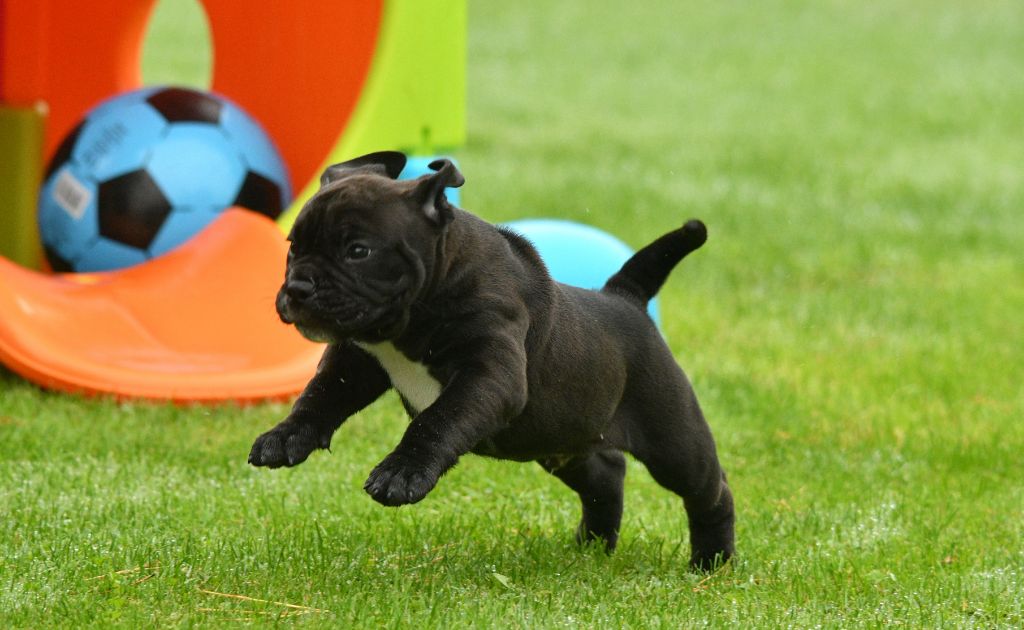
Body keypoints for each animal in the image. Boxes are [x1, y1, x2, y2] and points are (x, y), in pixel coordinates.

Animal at [253, 152, 737, 573]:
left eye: (358, 251)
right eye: (293, 246)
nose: (298, 287)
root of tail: (625, 297)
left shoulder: (488, 373)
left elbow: (437, 419)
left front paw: (402, 473)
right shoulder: (356, 364)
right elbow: (319, 396)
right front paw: (285, 437)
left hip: (673, 440)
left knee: (709, 491)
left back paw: (712, 562)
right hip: (560, 440)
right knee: (606, 473)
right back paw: (593, 545)